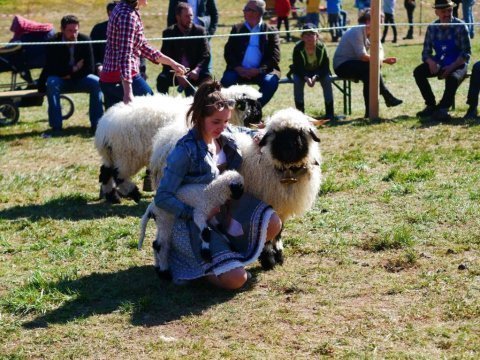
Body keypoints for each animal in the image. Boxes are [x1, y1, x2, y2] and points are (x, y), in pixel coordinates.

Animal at [94, 85, 262, 204]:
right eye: (252, 105)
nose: (260, 118)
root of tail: (104, 127)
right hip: (127, 154)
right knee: (119, 174)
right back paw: (133, 193)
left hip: (113, 153)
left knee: (105, 171)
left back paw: (112, 196)